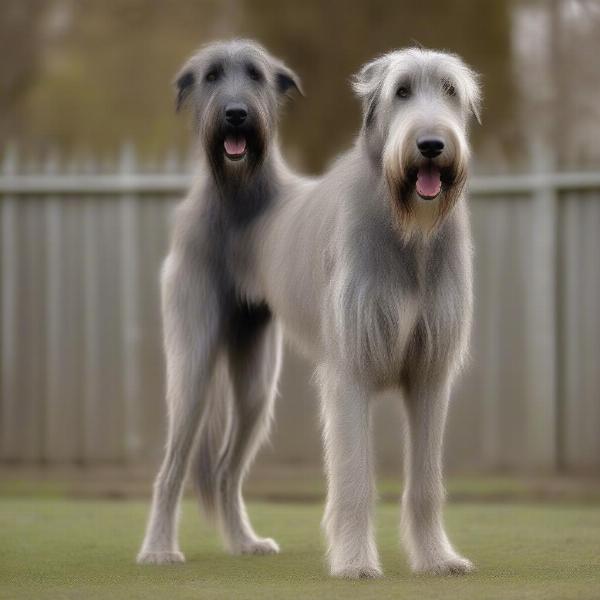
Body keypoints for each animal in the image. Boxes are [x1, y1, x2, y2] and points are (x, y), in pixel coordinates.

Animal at [138, 38, 480, 580]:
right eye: (401, 91)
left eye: (449, 89)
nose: (430, 144)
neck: (408, 233)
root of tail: (225, 186)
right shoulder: (349, 375)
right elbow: (354, 478)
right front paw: (355, 562)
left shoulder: (430, 375)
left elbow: (426, 482)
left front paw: (436, 558)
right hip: (192, 370)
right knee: (171, 468)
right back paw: (157, 548)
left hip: (256, 386)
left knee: (227, 471)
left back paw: (244, 541)